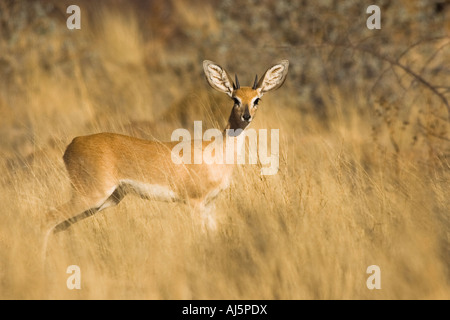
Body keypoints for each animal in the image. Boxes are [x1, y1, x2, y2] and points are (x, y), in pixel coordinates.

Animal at [42, 60, 288, 251]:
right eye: (235, 99)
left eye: (257, 99)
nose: (246, 116)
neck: (216, 151)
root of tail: (72, 144)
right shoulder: (194, 202)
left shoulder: (210, 205)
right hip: (91, 195)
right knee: (48, 218)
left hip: (104, 201)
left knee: (59, 225)